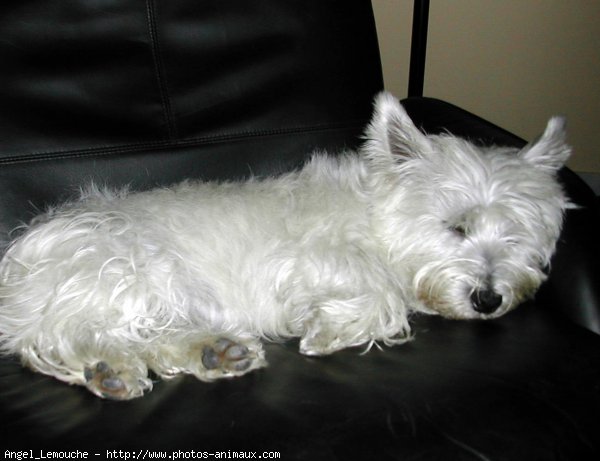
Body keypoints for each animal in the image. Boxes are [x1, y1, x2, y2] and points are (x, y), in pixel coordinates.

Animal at [0, 92, 572, 398]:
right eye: (456, 227)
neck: (376, 219)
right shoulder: (304, 261)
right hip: (127, 269)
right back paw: (113, 369)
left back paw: (215, 353)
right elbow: (381, 295)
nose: (489, 300)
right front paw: (326, 330)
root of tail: (15, 274)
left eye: (515, 235)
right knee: (66, 336)